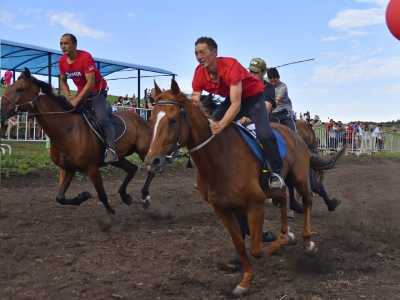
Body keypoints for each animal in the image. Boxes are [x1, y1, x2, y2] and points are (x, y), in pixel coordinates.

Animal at [0, 69, 155, 219]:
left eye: (20, 89)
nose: (1, 111)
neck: (66, 130)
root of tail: (141, 118)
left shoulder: (92, 169)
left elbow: (102, 195)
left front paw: (111, 212)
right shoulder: (67, 168)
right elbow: (60, 197)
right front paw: (83, 196)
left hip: (144, 150)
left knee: (151, 169)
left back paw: (145, 197)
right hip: (117, 158)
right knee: (132, 169)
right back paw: (126, 196)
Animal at [144, 79, 338, 296]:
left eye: (173, 120)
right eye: (151, 120)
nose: (152, 161)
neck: (220, 158)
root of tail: (296, 134)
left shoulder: (256, 204)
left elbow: (256, 249)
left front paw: (283, 242)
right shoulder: (223, 209)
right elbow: (239, 244)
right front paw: (245, 280)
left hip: (300, 177)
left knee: (307, 200)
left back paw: (307, 241)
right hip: (278, 186)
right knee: (284, 200)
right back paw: (286, 231)